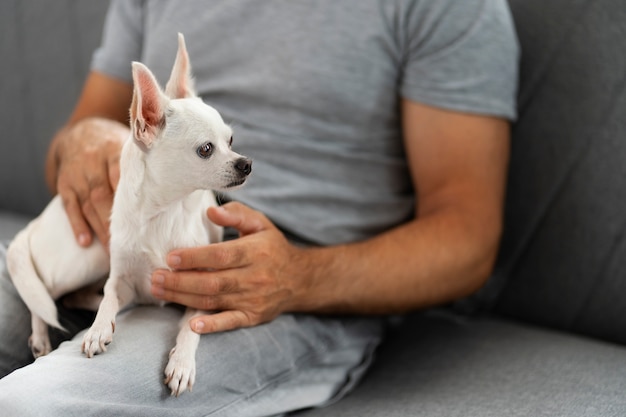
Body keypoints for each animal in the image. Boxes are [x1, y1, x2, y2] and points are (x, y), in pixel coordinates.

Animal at [6, 34, 251, 394]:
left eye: (231, 141)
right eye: (206, 149)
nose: (246, 163)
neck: (166, 212)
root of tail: (34, 224)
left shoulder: (203, 291)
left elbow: (191, 326)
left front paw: (181, 363)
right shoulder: (118, 274)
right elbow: (111, 294)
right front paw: (97, 329)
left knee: (73, 297)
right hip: (87, 257)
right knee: (46, 295)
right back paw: (43, 333)